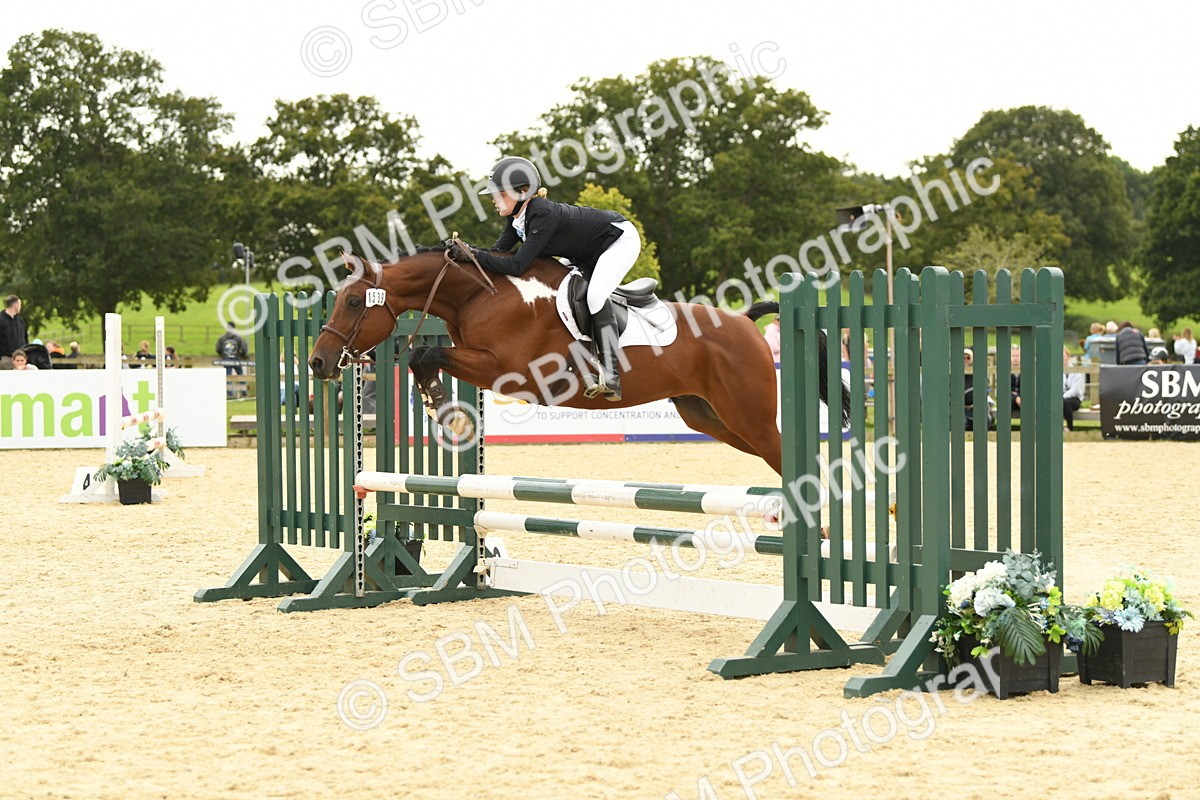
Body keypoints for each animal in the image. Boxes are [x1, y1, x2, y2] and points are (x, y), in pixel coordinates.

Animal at [308, 247, 848, 476]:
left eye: (353, 302)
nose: (317, 363)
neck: (478, 294)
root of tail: (744, 322)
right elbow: (425, 354)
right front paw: (442, 408)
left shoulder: (511, 372)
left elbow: (427, 351)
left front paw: (446, 411)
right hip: (712, 417)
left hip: (747, 414)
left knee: (784, 452)